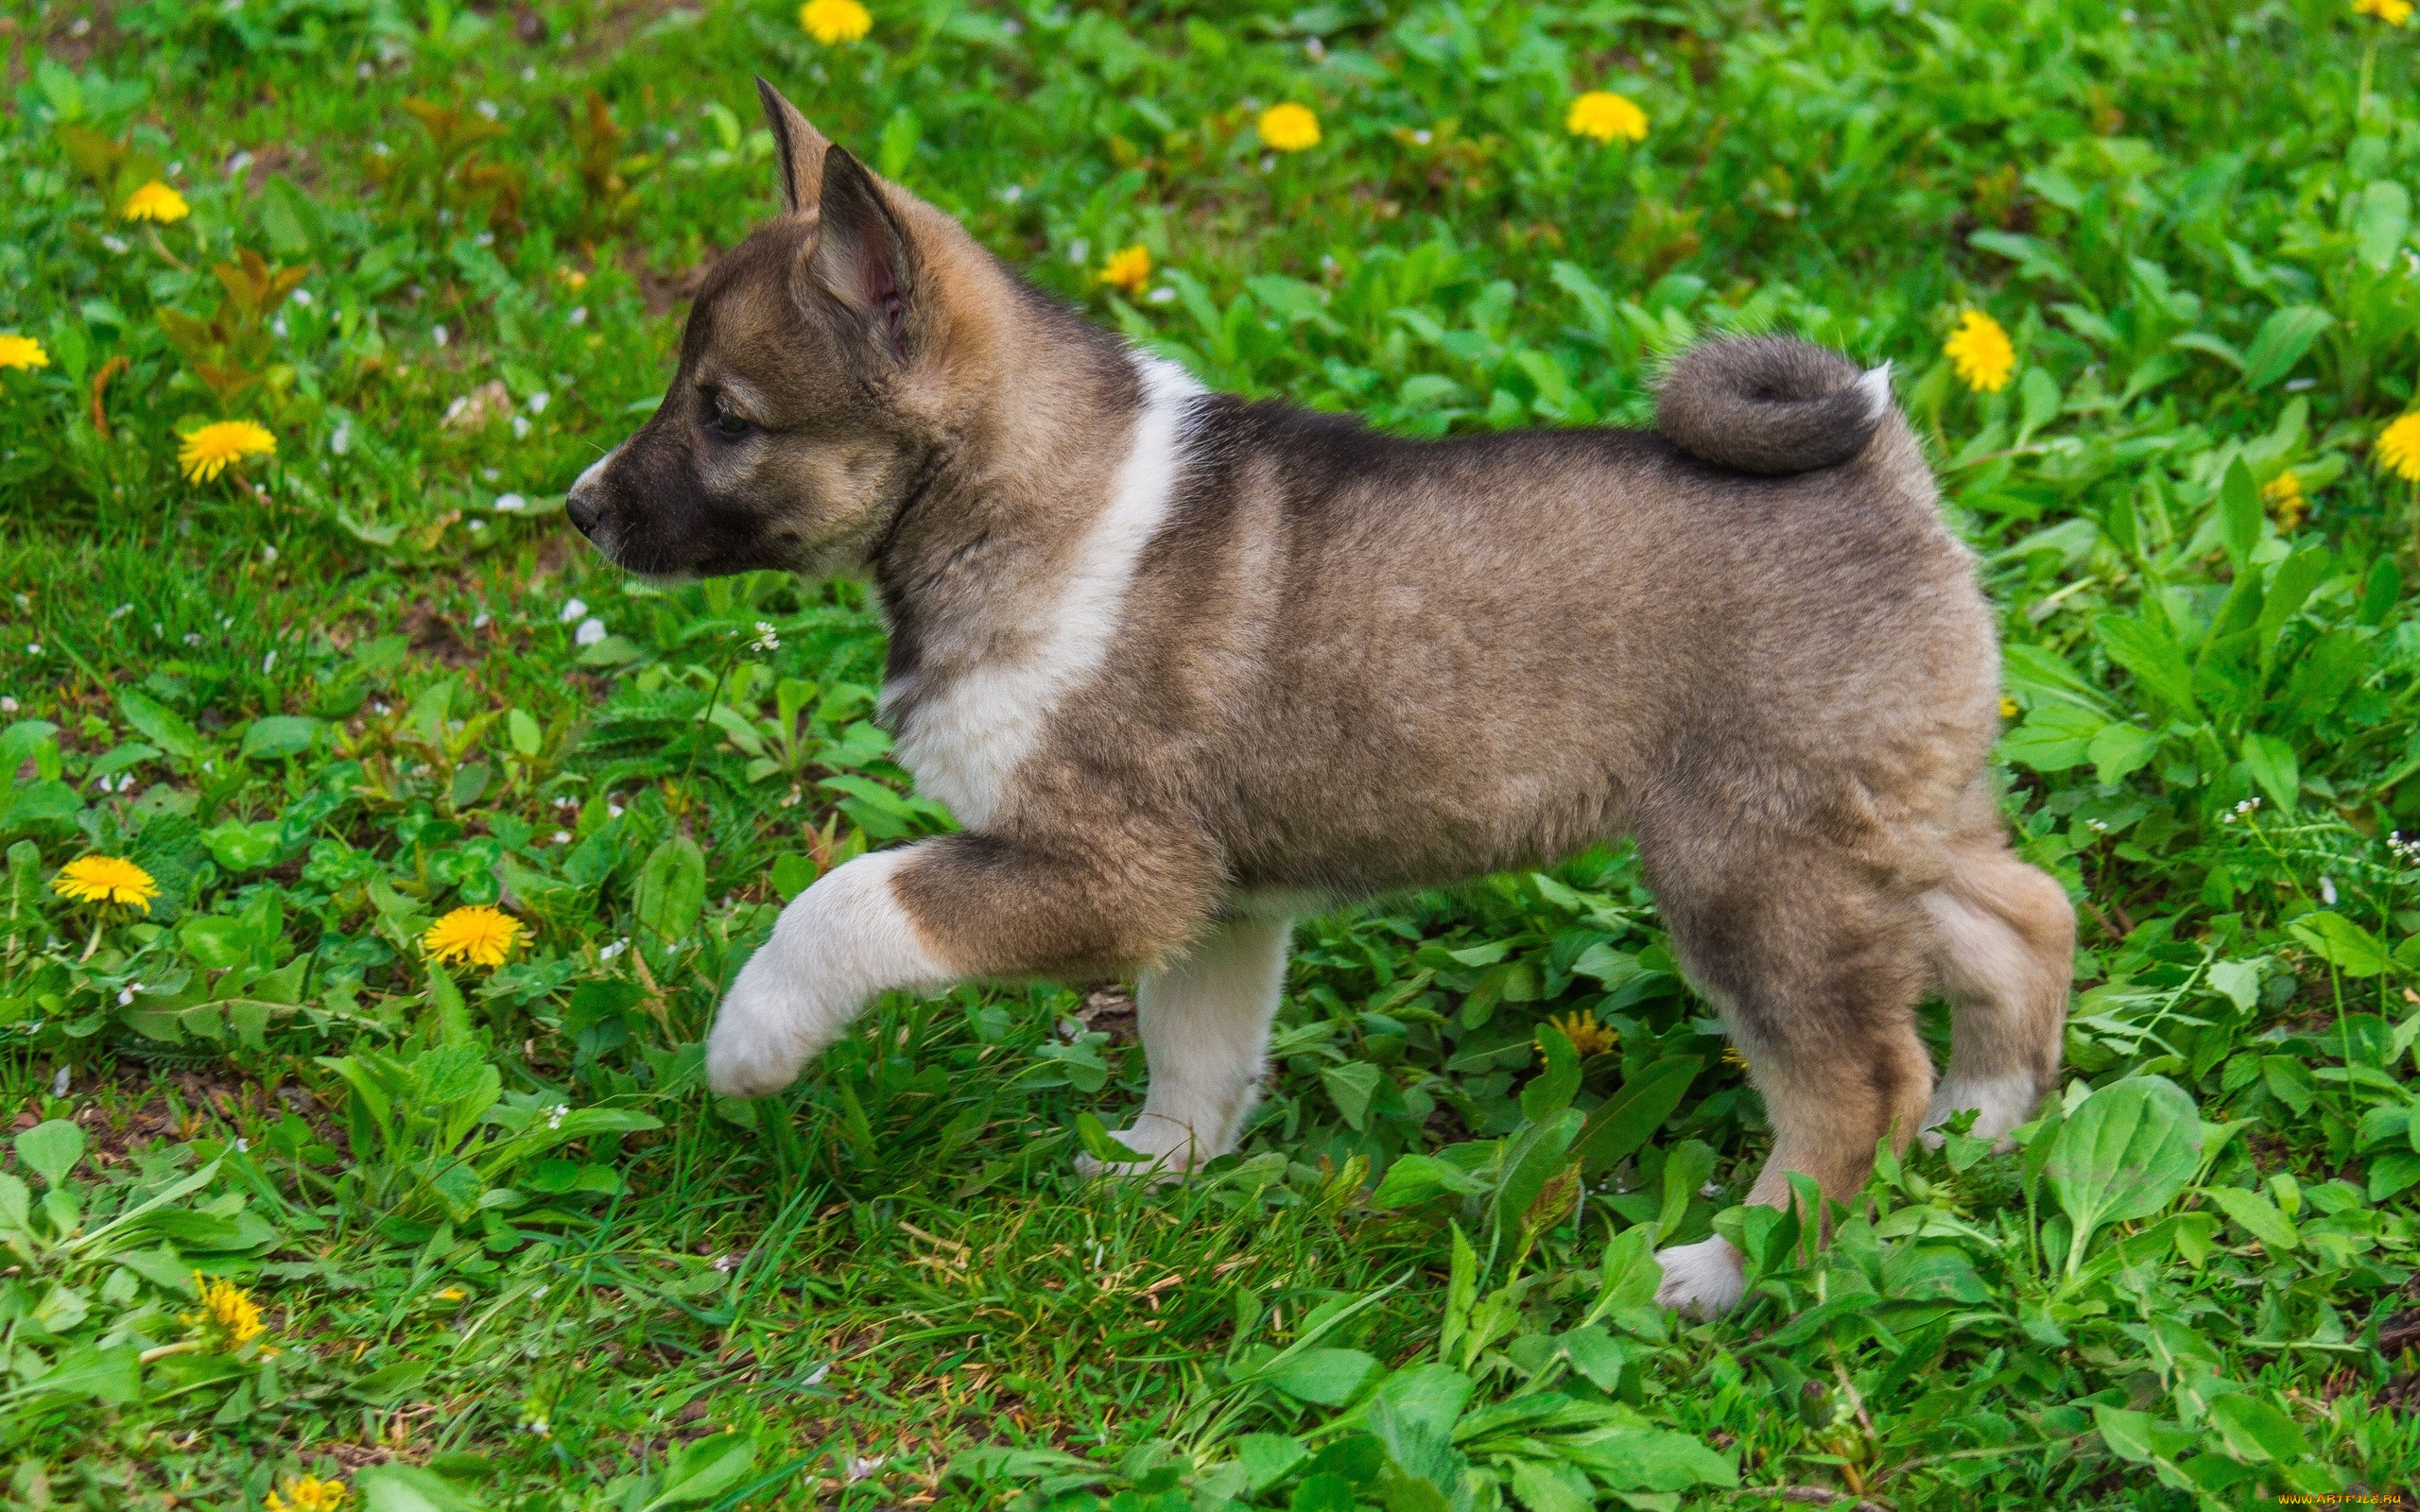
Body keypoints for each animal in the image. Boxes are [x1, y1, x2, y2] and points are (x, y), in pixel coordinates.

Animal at [571, 82, 2081, 1315]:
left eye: (725, 414)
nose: (580, 511)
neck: (1006, 501)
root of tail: (1881, 471)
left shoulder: (1109, 871)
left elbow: (846, 902)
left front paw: (749, 1041)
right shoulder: (1216, 904)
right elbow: (1197, 1050)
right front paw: (1153, 1173)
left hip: (1750, 873)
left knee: (1855, 1082)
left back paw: (1724, 1270)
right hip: (1882, 824)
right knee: (2022, 918)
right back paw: (1987, 1118)